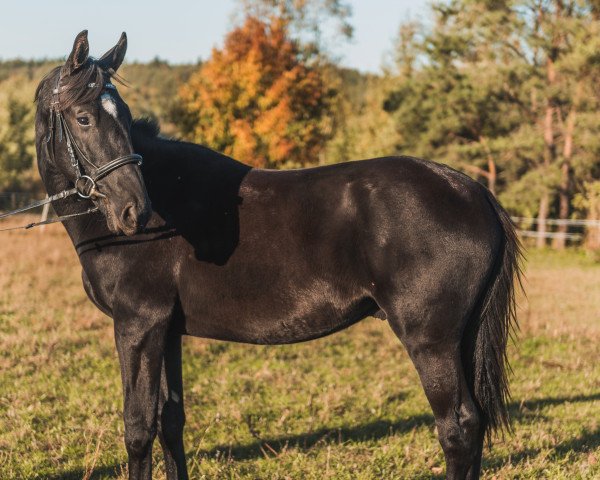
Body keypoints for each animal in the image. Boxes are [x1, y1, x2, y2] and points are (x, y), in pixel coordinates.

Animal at [32, 31, 520, 480]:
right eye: (84, 117)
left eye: (125, 117)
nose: (135, 211)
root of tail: (473, 191)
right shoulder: (164, 331)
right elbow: (170, 422)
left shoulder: (137, 325)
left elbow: (137, 429)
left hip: (431, 342)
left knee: (457, 427)